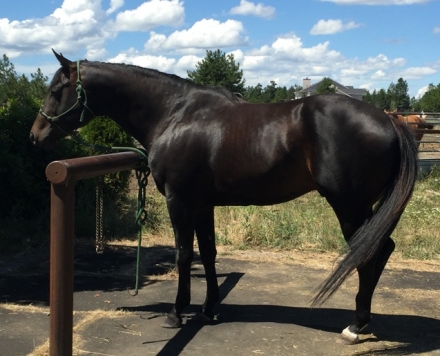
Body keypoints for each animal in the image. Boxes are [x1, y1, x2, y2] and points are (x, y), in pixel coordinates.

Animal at [29, 51, 418, 344]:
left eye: (57, 89)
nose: (36, 134)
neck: (174, 114)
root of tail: (389, 120)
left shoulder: (180, 201)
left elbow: (184, 255)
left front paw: (176, 312)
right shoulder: (203, 204)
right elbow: (209, 253)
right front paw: (209, 308)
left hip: (349, 206)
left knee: (370, 253)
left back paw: (356, 325)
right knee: (380, 250)